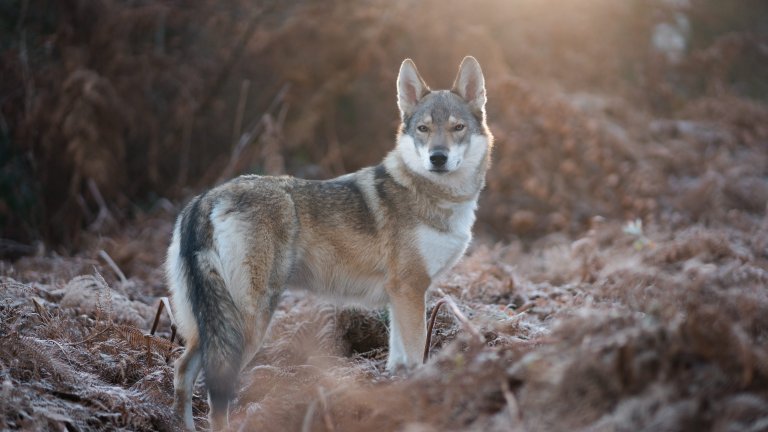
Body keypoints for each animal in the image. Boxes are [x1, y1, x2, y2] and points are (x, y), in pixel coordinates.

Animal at [166, 54, 496, 428]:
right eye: (423, 129)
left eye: (457, 128)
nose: (437, 158)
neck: (435, 196)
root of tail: (205, 198)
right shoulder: (411, 290)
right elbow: (416, 357)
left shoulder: (399, 297)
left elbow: (398, 362)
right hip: (248, 325)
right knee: (215, 392)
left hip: (210, 326)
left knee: (182, 372)